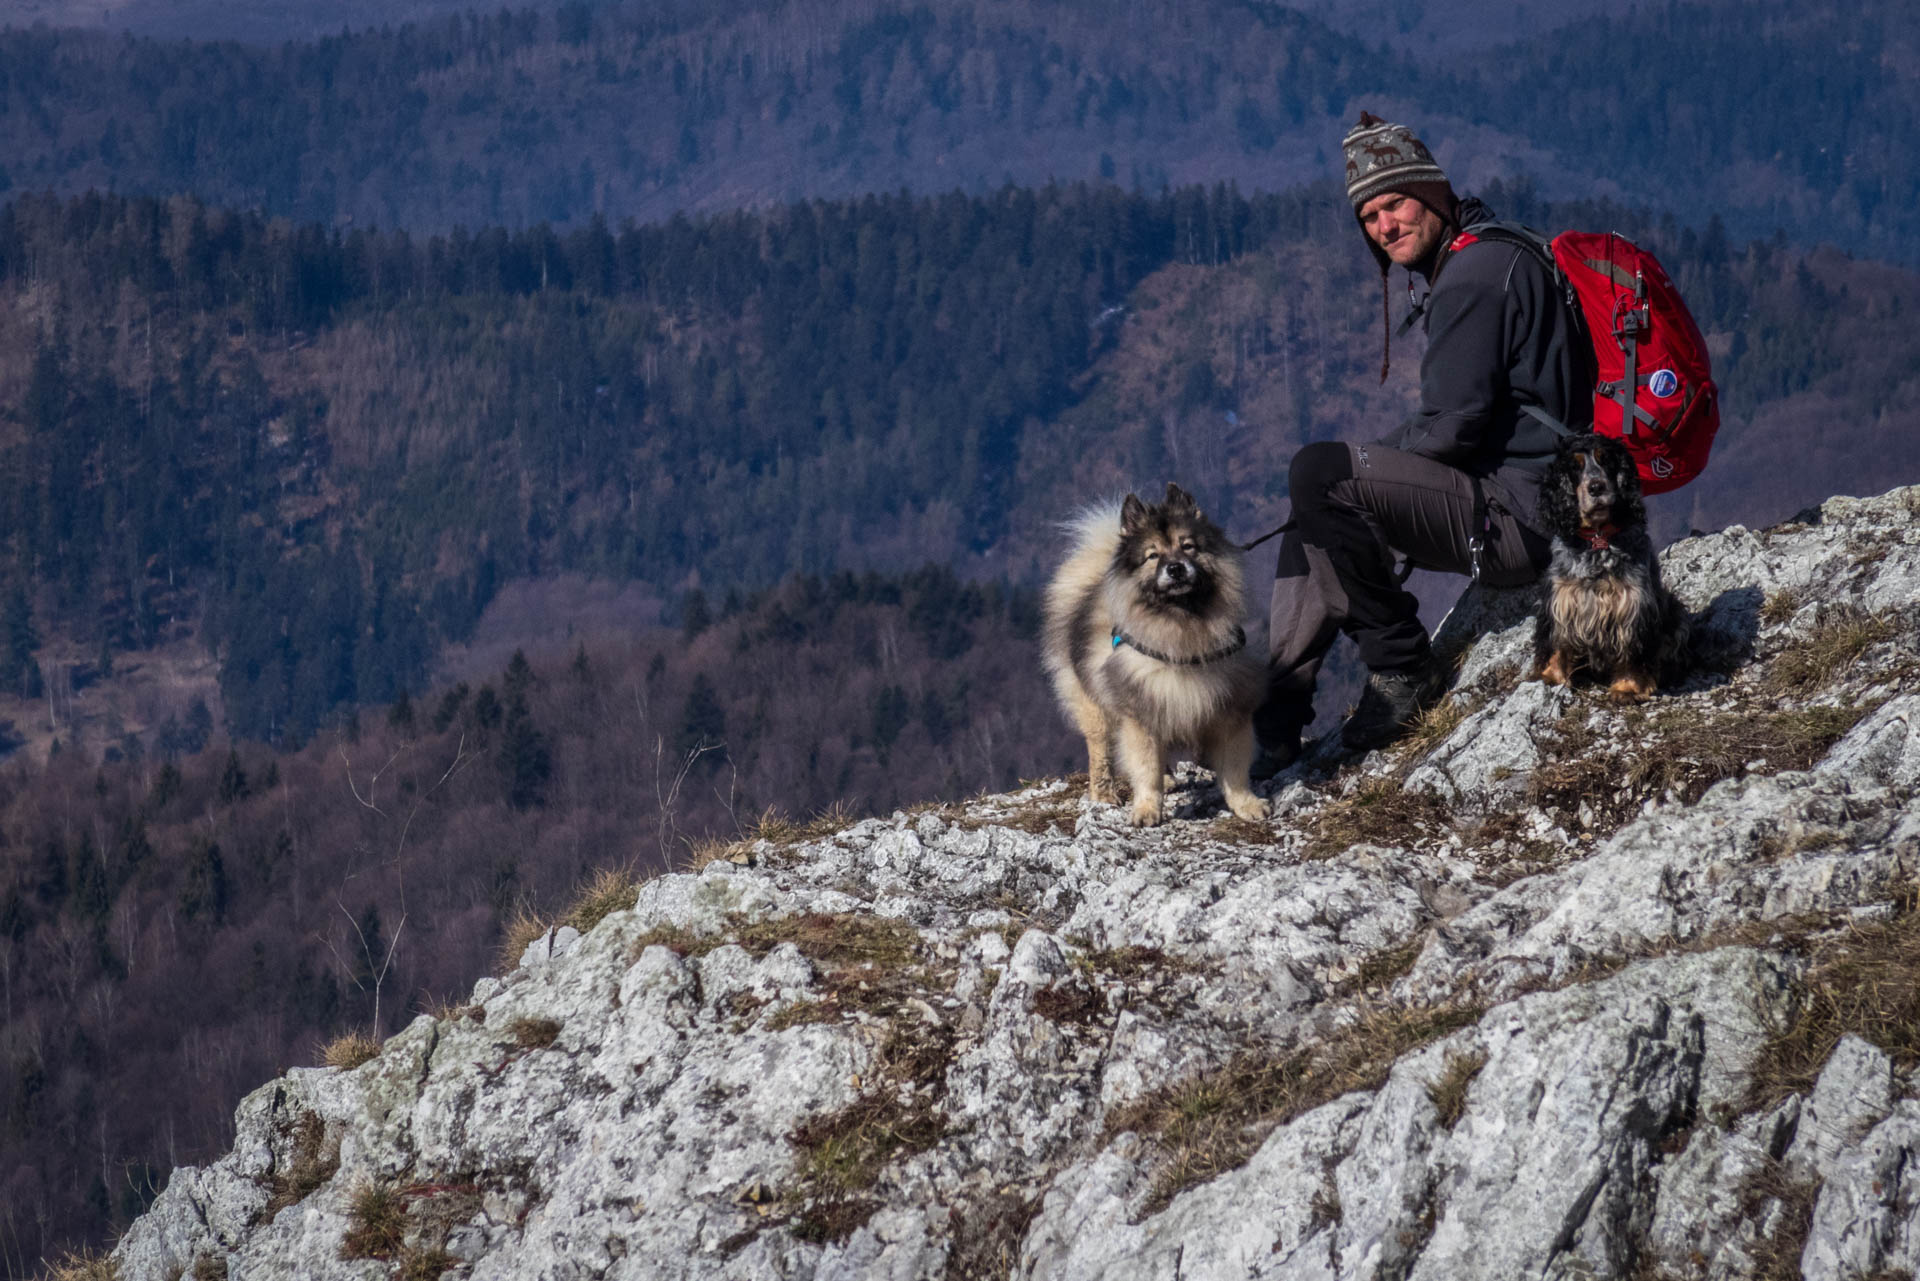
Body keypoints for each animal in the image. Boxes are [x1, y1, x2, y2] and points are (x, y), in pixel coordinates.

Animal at [1044, 483, 1267, 833]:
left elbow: (1235, 770)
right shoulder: (1139, 713)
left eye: (1187, 547)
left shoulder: (1230, 711)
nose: (1175, 568)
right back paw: (1104, 794)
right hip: (1095, 707)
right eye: (1153, 555)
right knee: (1100, 750)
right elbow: (1145, 769)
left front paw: (1247, 805)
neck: (1182, 632)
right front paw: (1147, 809)